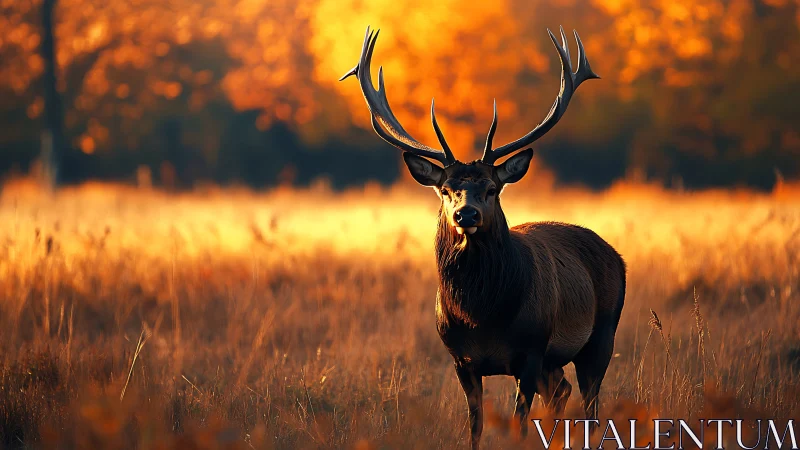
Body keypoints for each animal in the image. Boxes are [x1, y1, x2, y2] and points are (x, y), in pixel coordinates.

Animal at [341, 26, 626, 449]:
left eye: (492, 189)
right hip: (555, 360)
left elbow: (519, 423)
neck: (482, 315)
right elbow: (474, 425)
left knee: (590, 402)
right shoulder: (461, 359)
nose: (466, 214)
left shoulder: (530, 350)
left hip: (601, 334)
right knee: (561, 391)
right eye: (445, 190)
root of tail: (616, 255)